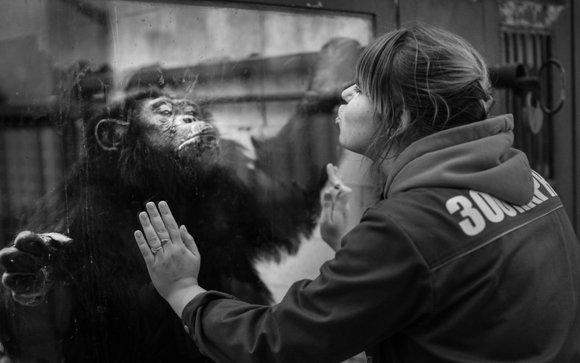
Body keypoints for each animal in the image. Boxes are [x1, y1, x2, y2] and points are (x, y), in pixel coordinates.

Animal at [0, 88, 330, 363]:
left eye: (191, 111)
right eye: (165, 112)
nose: (190, 118)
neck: (146, 189)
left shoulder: (224, 189)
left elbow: (281, 208)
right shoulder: (74, 213)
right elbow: (44, 345)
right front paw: (37, 271)